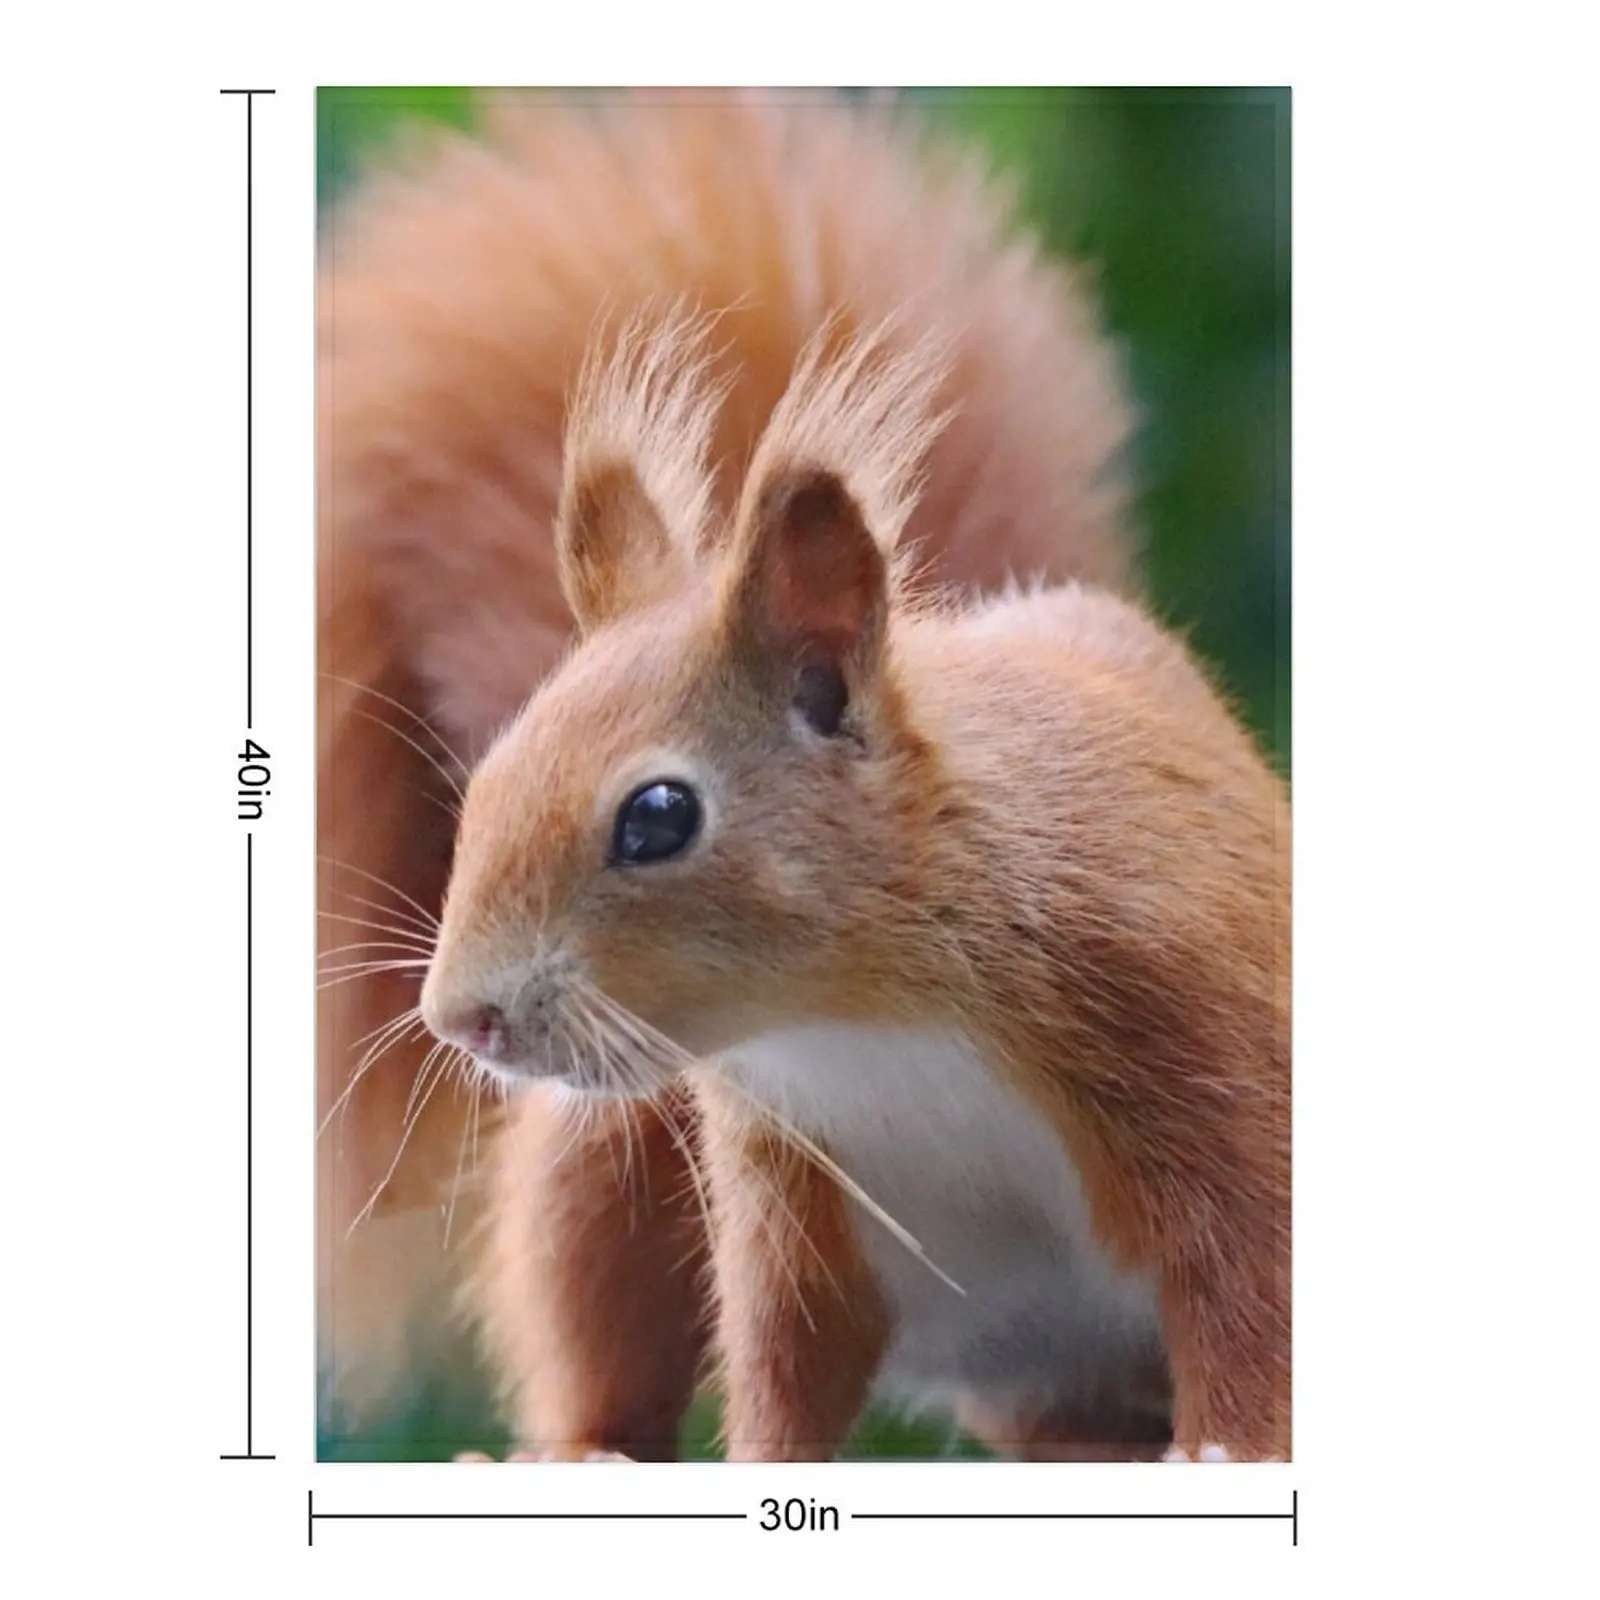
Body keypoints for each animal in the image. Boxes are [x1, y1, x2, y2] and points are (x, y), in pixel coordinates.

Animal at [318, 89, 1287, 1460]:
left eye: (658, 816)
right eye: (490, 770)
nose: (465, 1019)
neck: (856, 1017)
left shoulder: (1208, 1034)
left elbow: (1247, 1277)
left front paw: (1232, 1446)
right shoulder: (784, 1192)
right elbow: (785, 1356)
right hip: (611, 1142)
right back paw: (584, 1448)